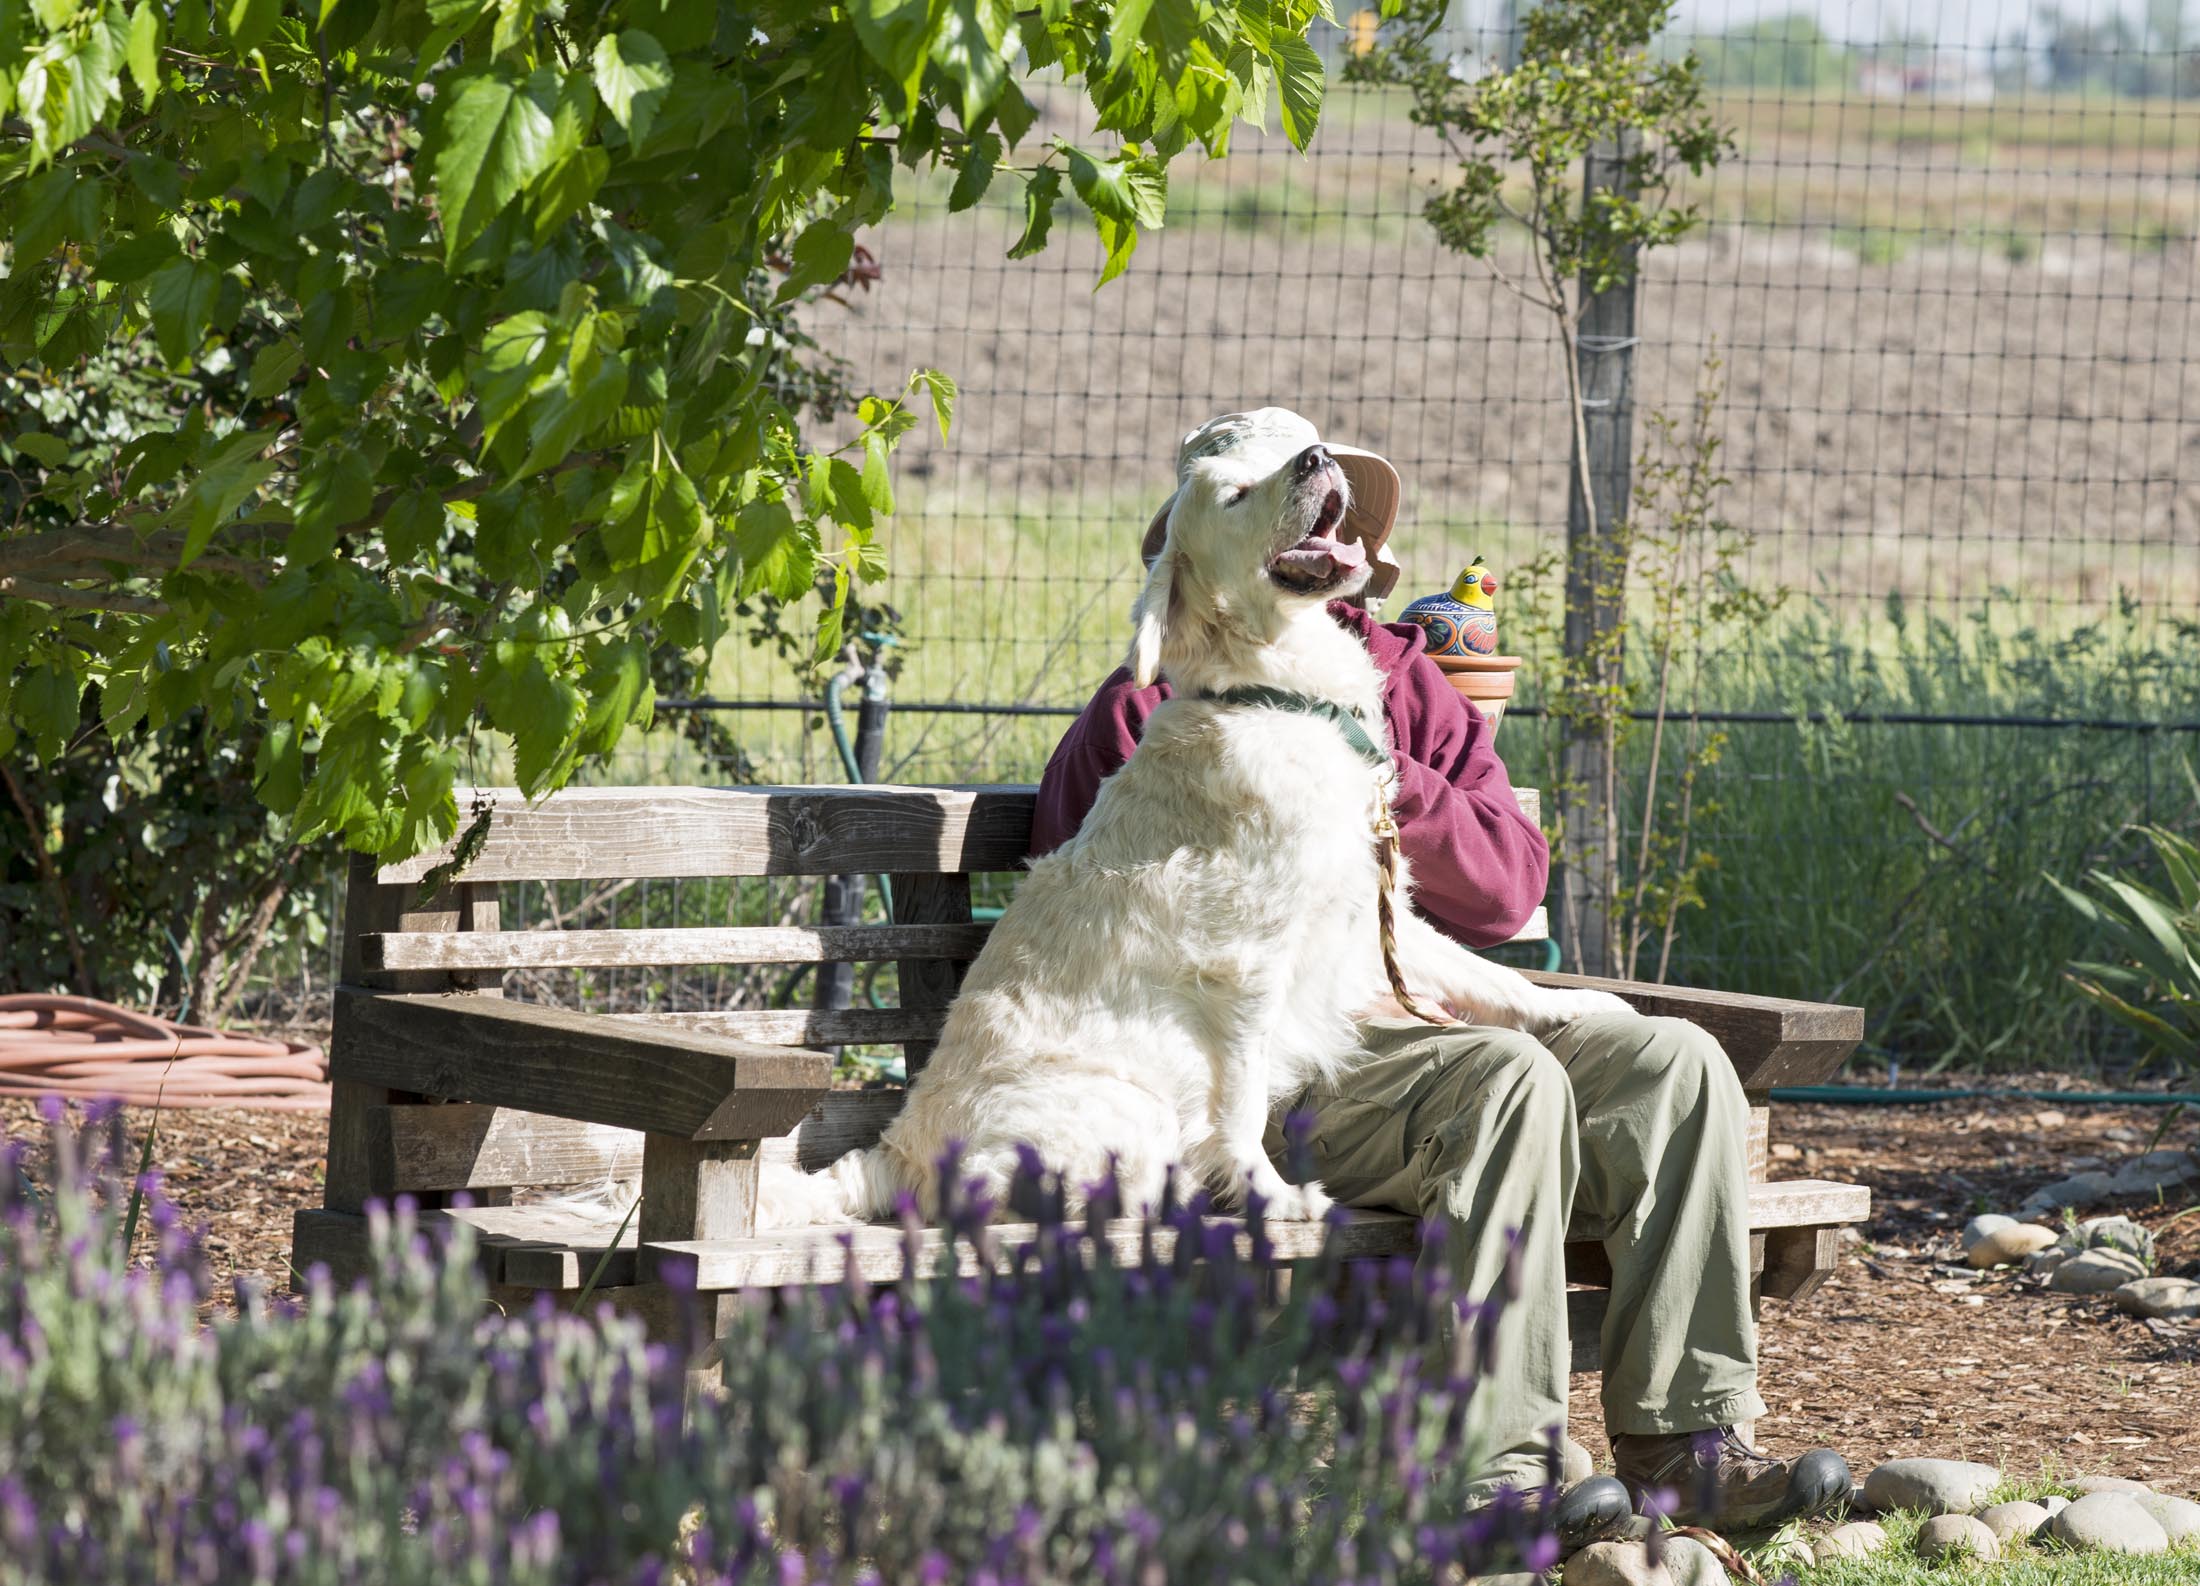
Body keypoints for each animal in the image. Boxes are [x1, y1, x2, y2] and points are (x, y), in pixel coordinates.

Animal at [765, 435, 1626, 1227]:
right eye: (1237, 493)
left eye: (1290, 455)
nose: (1317, 456)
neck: (1281, 693)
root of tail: (897, 1149)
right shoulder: (1246, 967)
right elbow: (1240, 1108)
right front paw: (1271, 1196)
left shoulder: (1368, 914)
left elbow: (1492, 974)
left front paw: (1583, 1008)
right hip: (1125, 1107)